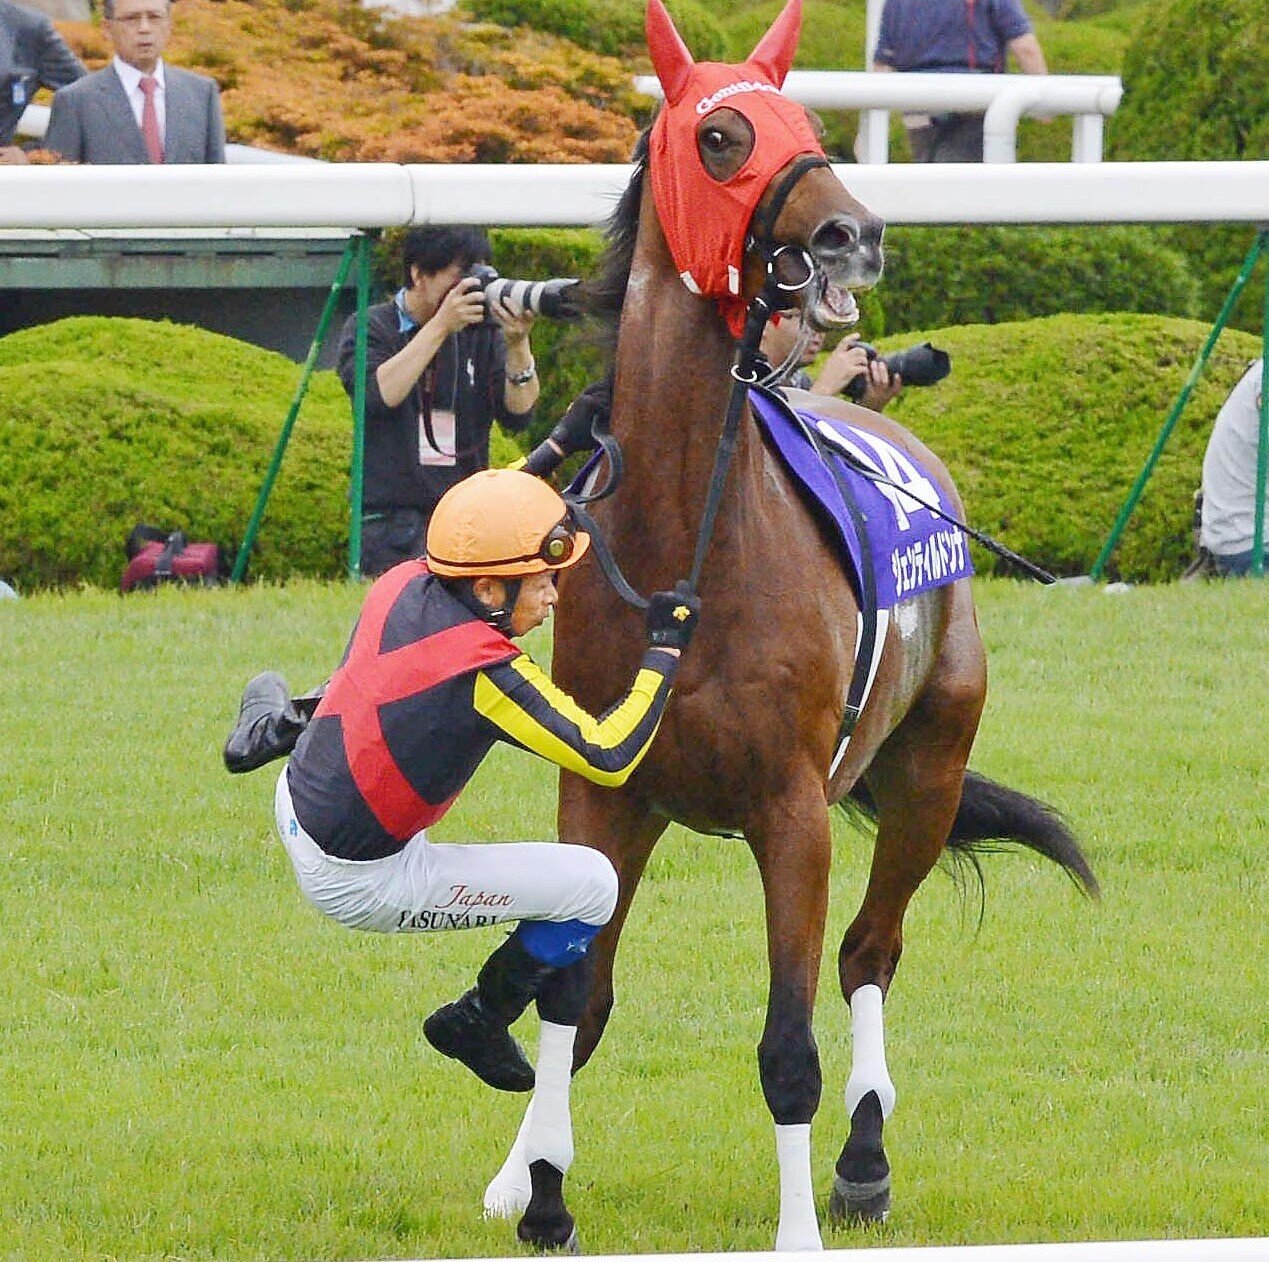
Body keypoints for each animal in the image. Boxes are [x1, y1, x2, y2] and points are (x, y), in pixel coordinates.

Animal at [485, 0, 1099, 1250]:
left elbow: (787, 1041)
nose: (853, 234)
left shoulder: (792, 811)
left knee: (871, 948)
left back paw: (863, 1160)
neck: (687, 537)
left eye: (810, 125)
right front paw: (543, 1188)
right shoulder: (605, 794)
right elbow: (578, 994)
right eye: (721, 136)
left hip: (928, 768)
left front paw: (802, 1220)